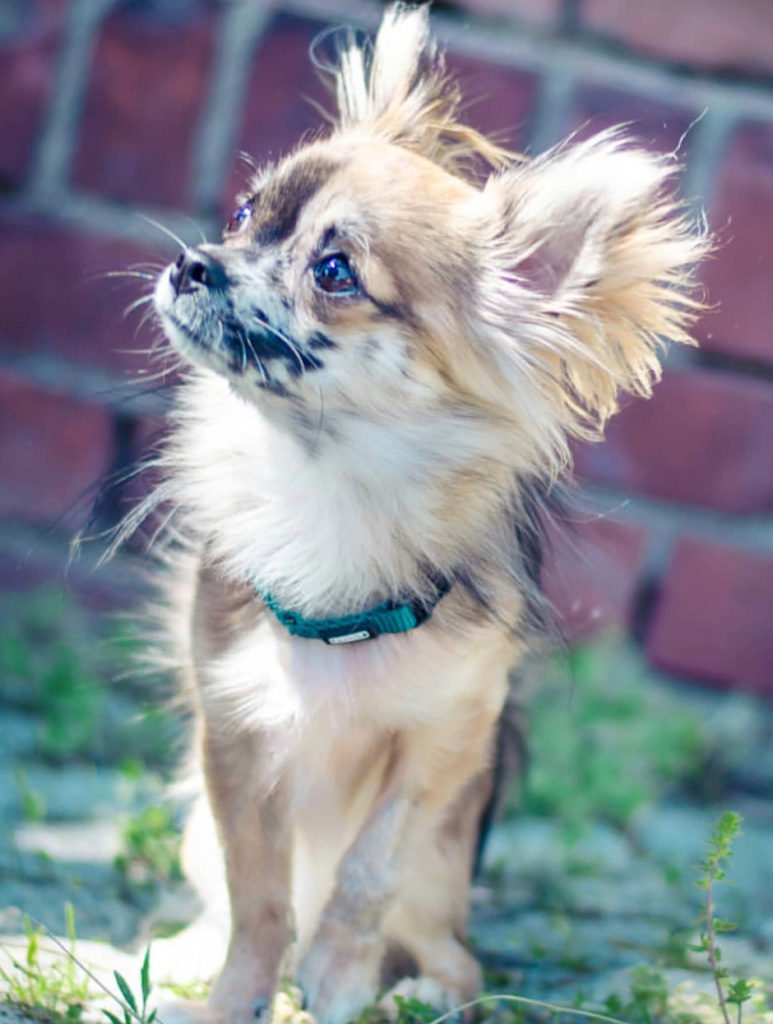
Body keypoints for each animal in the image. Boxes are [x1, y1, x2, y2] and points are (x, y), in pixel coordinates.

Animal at [146, 8, 708, 1024]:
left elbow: (368, 870)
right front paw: (232, 998)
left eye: (334, 271)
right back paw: (185, 958)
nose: (191, 262)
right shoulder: (235, 737)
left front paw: (337, 982)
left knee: (451, 953)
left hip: (448, 877)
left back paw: (418, 992)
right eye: (245, 215)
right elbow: (257, 895)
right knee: (220, 889)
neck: (326, 482)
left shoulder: (443, 741)